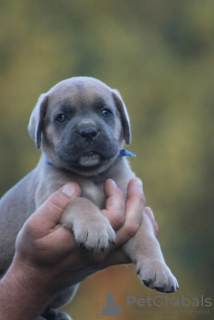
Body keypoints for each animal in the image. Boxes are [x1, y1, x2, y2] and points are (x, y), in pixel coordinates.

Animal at [0, 77, 177, 320]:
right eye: (61, 117)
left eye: (105, 112)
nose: (88, 131)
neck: (92, 175)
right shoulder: (55, 194)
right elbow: (81, 202)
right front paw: (95, 228)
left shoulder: (132, 207)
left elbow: (147, 239)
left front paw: (159, 270)